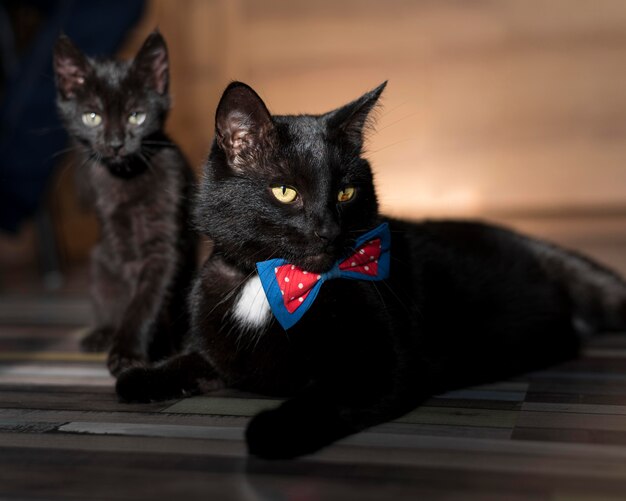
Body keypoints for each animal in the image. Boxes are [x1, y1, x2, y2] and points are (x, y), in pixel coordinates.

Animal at [53, 32, 196, 376]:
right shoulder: (115, 235)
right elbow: (131, 295)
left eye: (136, 116)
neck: (126, 178)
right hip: (99, 261)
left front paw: (130, 353)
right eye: (92, 117)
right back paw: (101, 333)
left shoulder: (164, 243)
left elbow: (146, 298)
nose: (116, 144)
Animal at [117, 81, 624, 458]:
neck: (268, 279)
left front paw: (270, 429)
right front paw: (142, 375)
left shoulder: (380, 367)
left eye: (346, 192)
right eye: (285, 191)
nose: (326, 227)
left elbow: (321, 398)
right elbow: (194, 359)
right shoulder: (221, 347)